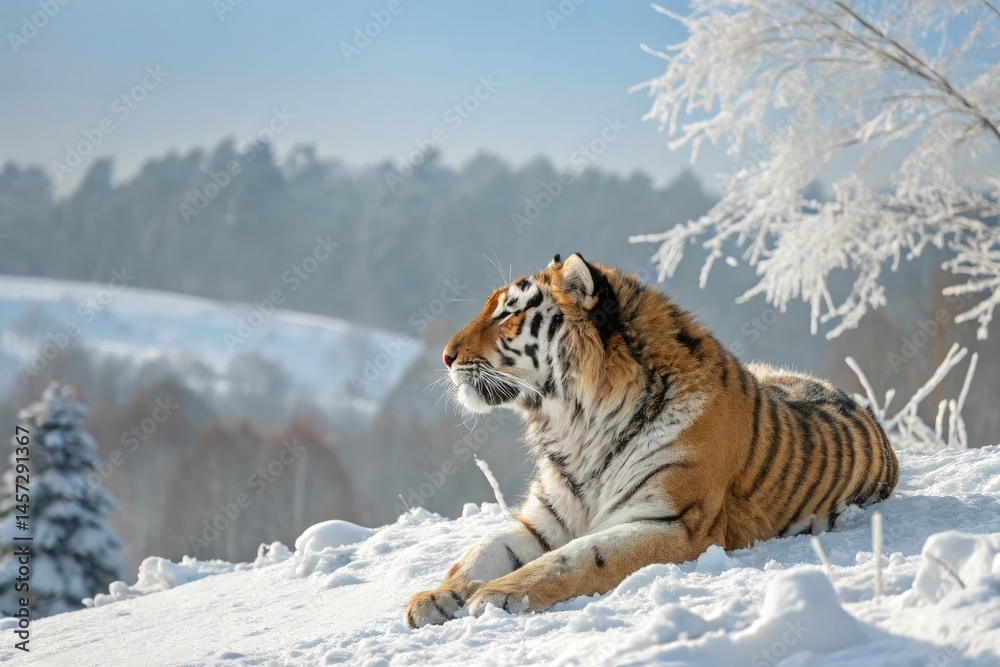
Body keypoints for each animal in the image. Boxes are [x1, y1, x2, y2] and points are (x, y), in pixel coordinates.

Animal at [405, 252, 898, 628]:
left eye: (509, 312)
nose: (446, 356)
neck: (577, 427)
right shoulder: (545, 521)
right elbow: (483, 548)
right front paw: (433, 597)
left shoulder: (672, 522)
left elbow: (578, 557)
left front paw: (495, 595)